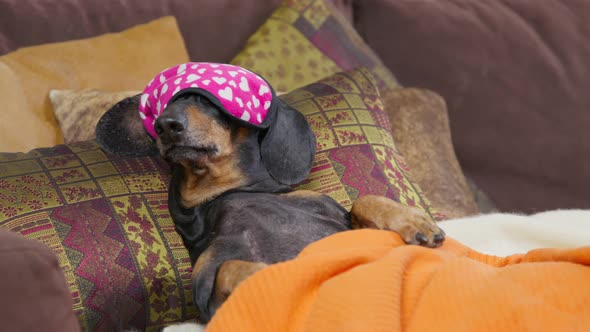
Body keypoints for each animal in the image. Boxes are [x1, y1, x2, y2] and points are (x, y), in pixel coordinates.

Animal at [97, 62, 446, 322]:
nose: (165, 124)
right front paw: (270, 275)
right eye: (165, 103)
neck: (227, 193)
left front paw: (415, 222)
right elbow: (231, 268)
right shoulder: (208, 298)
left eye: (206, 100)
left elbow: (364, 198)